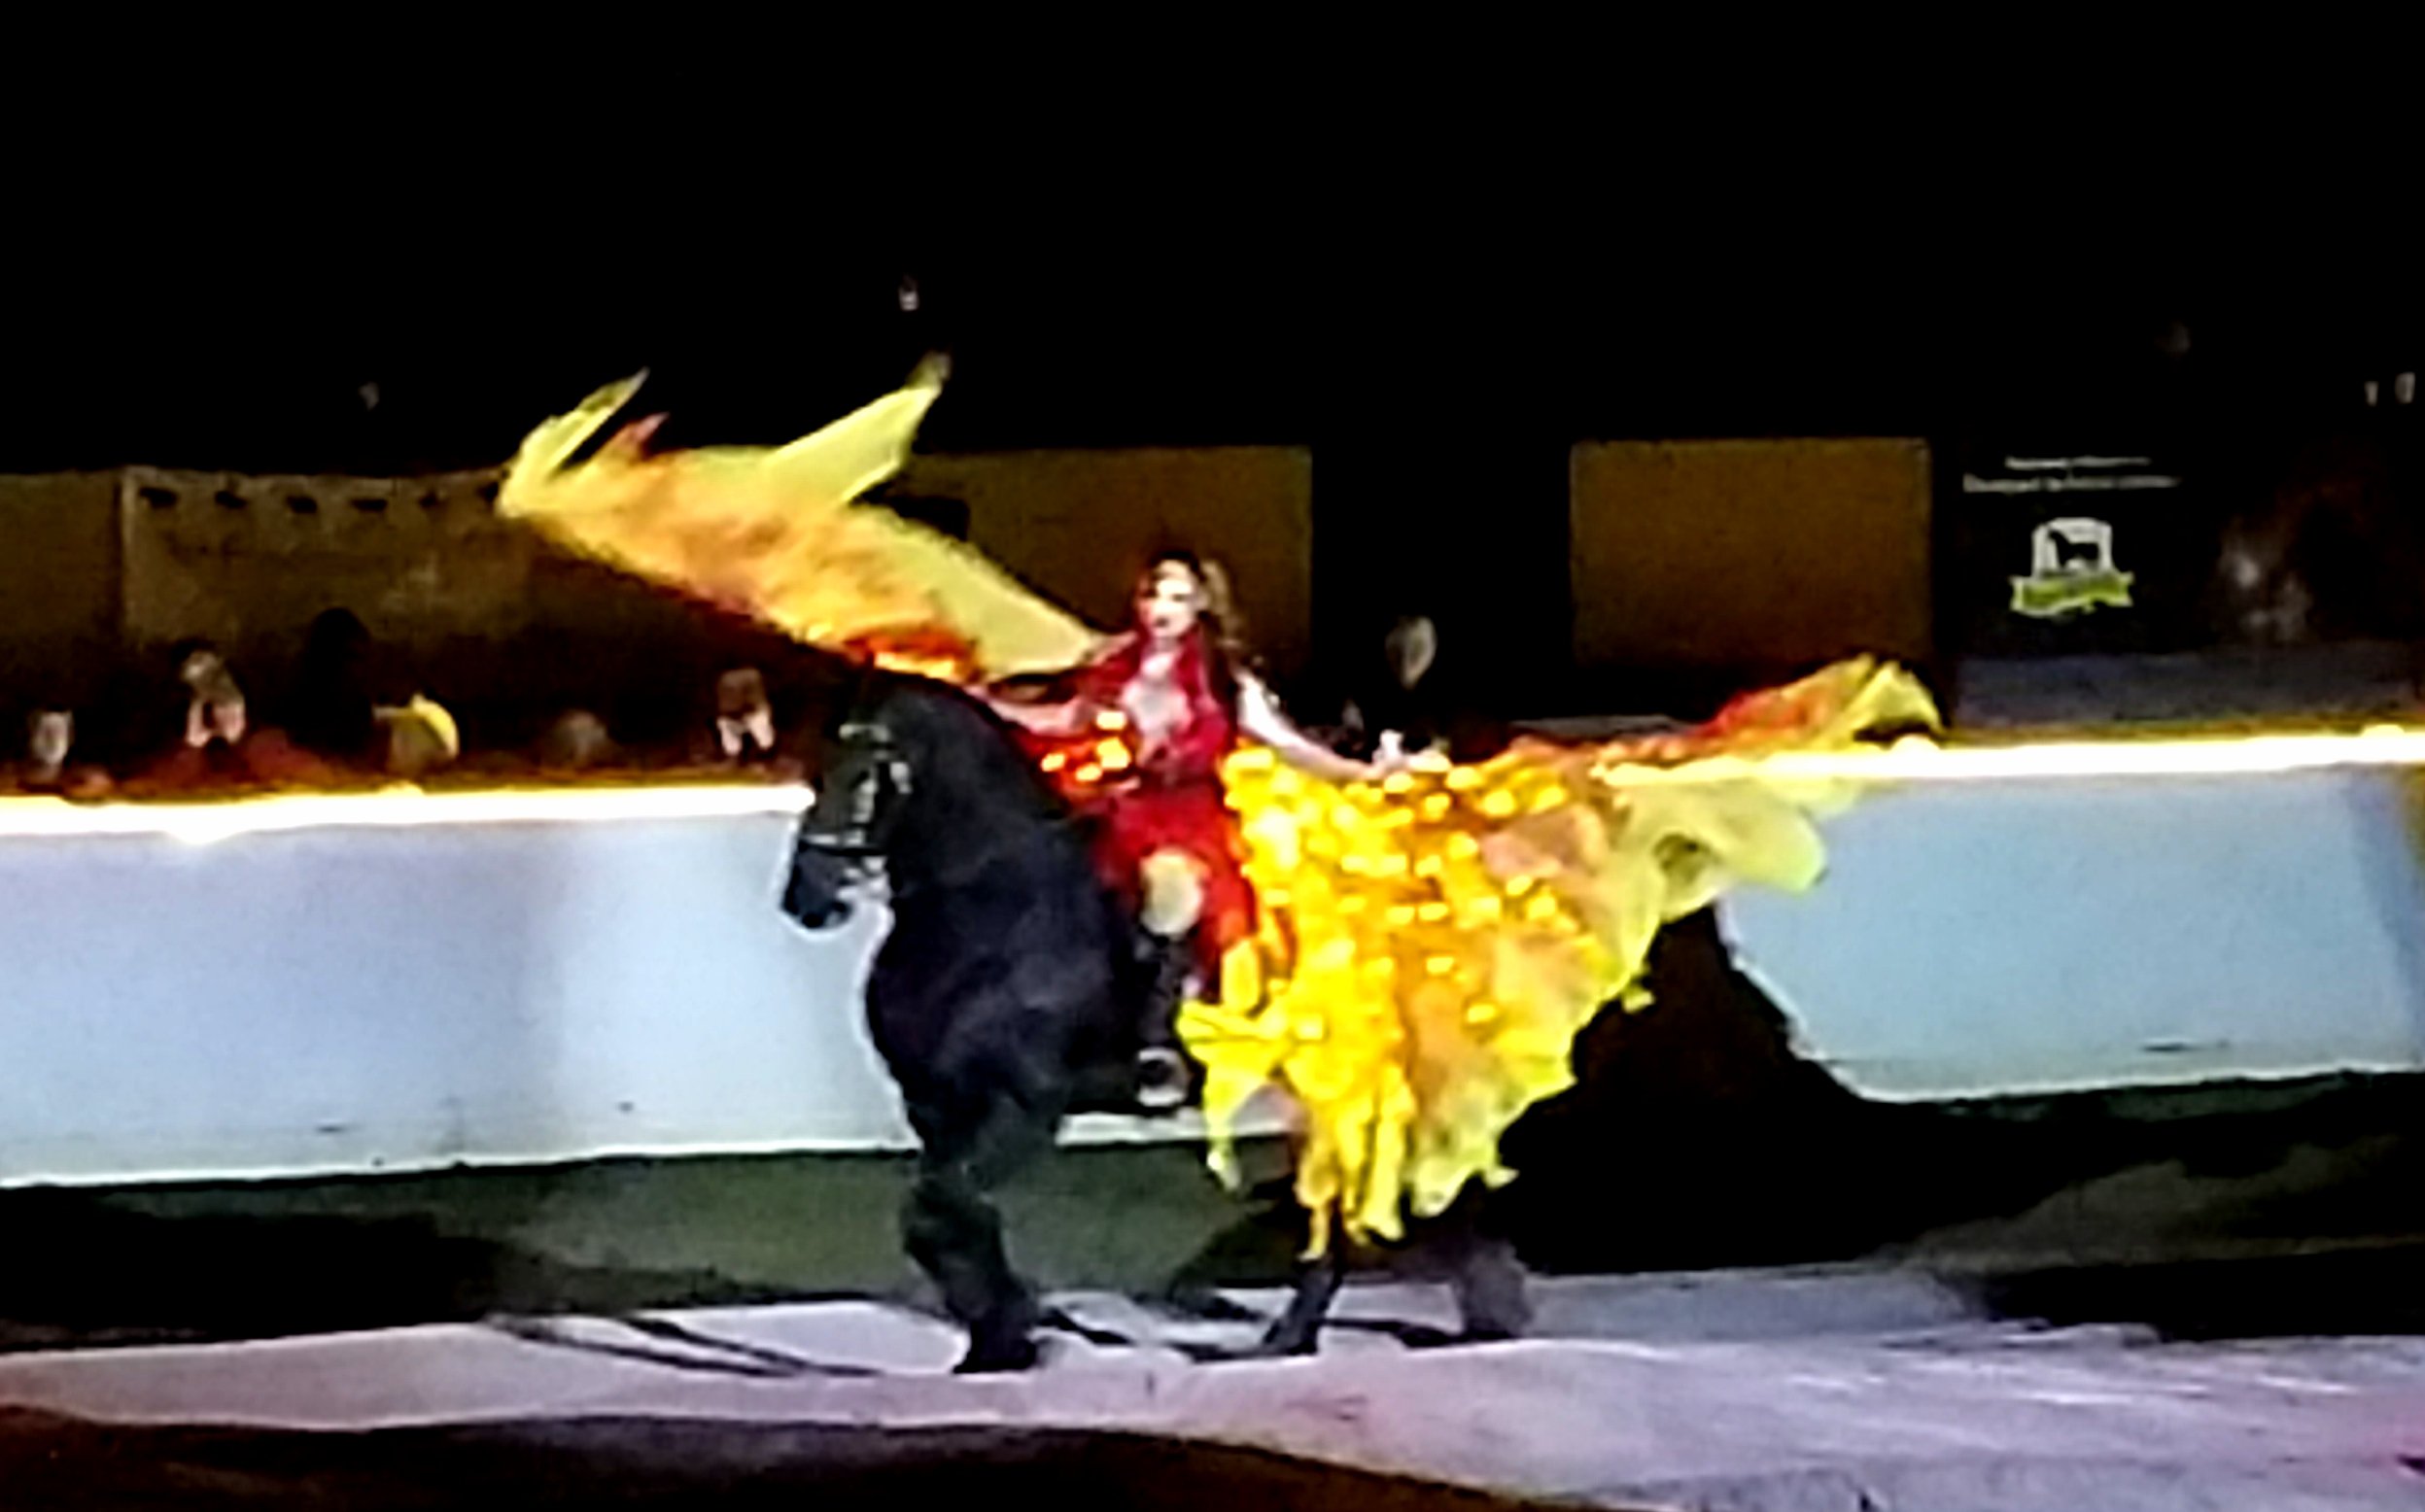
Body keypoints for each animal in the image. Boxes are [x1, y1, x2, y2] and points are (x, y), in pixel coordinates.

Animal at [780, 667, 1531, 1369]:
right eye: (816, 770)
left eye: (866, 771)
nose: (805, 898)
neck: (996, 913)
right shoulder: (937, 1108)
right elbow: (941, 1219)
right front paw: (997, 1338)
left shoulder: (1024, 1107)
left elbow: (944, 1209)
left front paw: (1015, 1325)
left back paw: (1308, 1337)